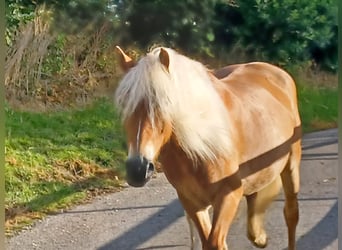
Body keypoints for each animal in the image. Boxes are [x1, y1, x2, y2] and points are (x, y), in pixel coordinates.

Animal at [115, 45, 302, 250]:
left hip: (291, 165)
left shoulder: (228, 195)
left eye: (163, 104)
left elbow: (215, 242)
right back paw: (259, 237)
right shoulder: (192, 202)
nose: (138, 170)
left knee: (291, 214)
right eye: (125, 105)